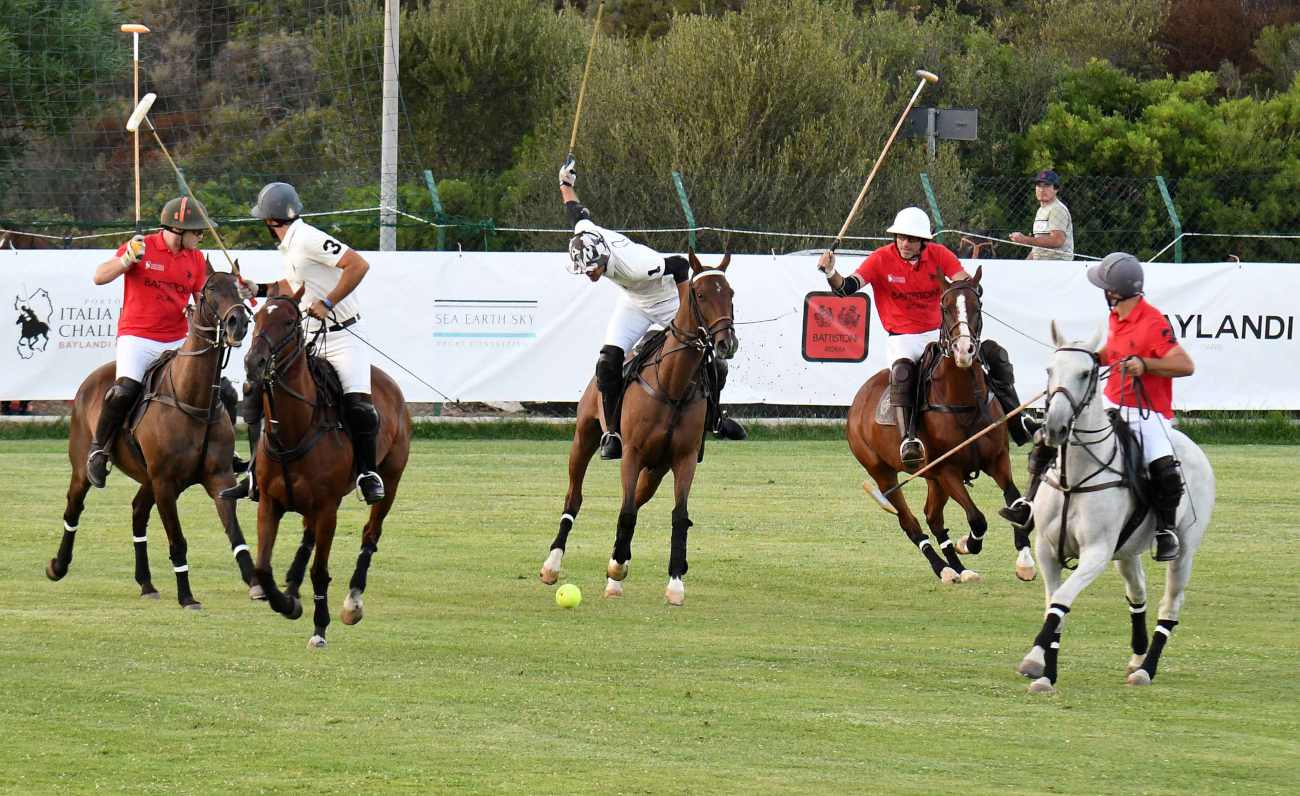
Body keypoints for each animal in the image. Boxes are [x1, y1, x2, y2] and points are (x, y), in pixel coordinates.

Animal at [50, 264, 256, 606]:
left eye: (239, 289)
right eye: (211, 289)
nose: (237, 322)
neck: (193, 401)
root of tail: (90, 380)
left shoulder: (219, 478)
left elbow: (236, 533)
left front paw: (257, 583)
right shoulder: (165, 483)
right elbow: (178, 541)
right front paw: (187, 596)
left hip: (147, 478)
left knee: (137, 512)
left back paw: (146, 582)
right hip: (84, 466)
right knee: (73, 507)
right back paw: (58, 566)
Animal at [241, 286, 408, 647]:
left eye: (289, 322)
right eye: (256, 317)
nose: (252, 363)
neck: (293, 429)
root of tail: (386, 379)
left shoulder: (328, 507)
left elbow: (320, 572)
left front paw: (319, 627)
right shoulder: (270, 504)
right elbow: (263, 567)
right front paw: (287, 603)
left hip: (391, 478)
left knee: (370, 533)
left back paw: (353, 601)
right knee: (308, 535)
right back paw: (292, 583)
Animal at [538, 252, 738, 606]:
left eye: (731, 294)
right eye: (701, 295)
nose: (726, 343)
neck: (672, 385)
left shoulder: (684, 458)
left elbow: (678, 516)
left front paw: (675, 582)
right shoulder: (631, 452)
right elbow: (627, 512)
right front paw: (616, 568)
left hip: (656, 468)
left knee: (636, 500)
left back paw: (617, 571)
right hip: (584, 438)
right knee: (575, 498)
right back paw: (554, 566)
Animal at [847, 267, 1029, 585]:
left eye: (978, 305)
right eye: (944, 308)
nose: (964, 351)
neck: (963, 399)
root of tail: (860, 397)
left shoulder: (997, 459)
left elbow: (1017, 503)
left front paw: (1025, 561)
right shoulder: (948, 469)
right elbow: (977, 519)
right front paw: (967, 543)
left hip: (931, 477)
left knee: (933, 517)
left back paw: (959, 569)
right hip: (881, 471)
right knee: (910, 521)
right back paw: (943, 567)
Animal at [1013, 319, 1216, 691]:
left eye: (1085, 373)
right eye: (1049, 369)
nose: (1054, 428)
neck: (1074, 477)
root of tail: (1190, 443)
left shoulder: (1096, 552)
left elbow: (1061, 601)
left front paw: (1036, 664)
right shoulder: (1047, 550)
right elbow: (1054, 606)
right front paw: (1044, 669)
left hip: (1185, 550)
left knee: (1171, 605)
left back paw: (1145, 669)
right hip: (1128, 551)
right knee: (1137, 593)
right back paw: (1136, 655)